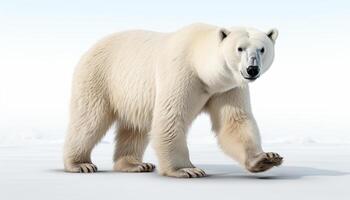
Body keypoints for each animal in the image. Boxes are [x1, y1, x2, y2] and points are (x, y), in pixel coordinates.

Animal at [63, 22, 282, 177]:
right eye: (240, 48)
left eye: (262, 49)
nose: (252, 69)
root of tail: (90, 48)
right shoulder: (181, 73)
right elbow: (170, 117)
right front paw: (187, 169)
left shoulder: (227, 87)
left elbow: (234, 122)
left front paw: (266, 158)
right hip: (99, 77)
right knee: (89, 120)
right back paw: (80, 164)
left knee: (134, 127)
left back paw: (135, 164)